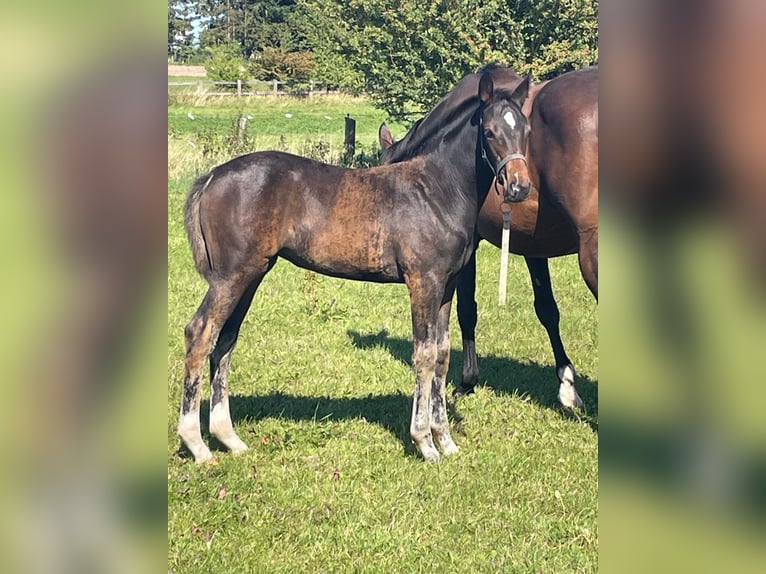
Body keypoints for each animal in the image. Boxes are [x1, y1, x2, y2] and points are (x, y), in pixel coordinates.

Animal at [178, 72, 533, 463]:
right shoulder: (423, 281)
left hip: (252, 274)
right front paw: (425, 443)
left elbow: (441, 354)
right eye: (490, 131)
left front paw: (447, 440)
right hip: (230, 277)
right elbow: (423, 355)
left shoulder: (447, 285)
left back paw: (229, 438)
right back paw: (197, 445)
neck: (437, 190)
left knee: (225, 340)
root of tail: (212, 176)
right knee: (200, 334)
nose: (519, 187)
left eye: (526, 129)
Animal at [379, 65, 598, 409]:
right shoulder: (533, 245)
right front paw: (567, 385)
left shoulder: (468, 250)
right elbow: (547, 309)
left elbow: (467, 309)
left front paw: (467, 381)